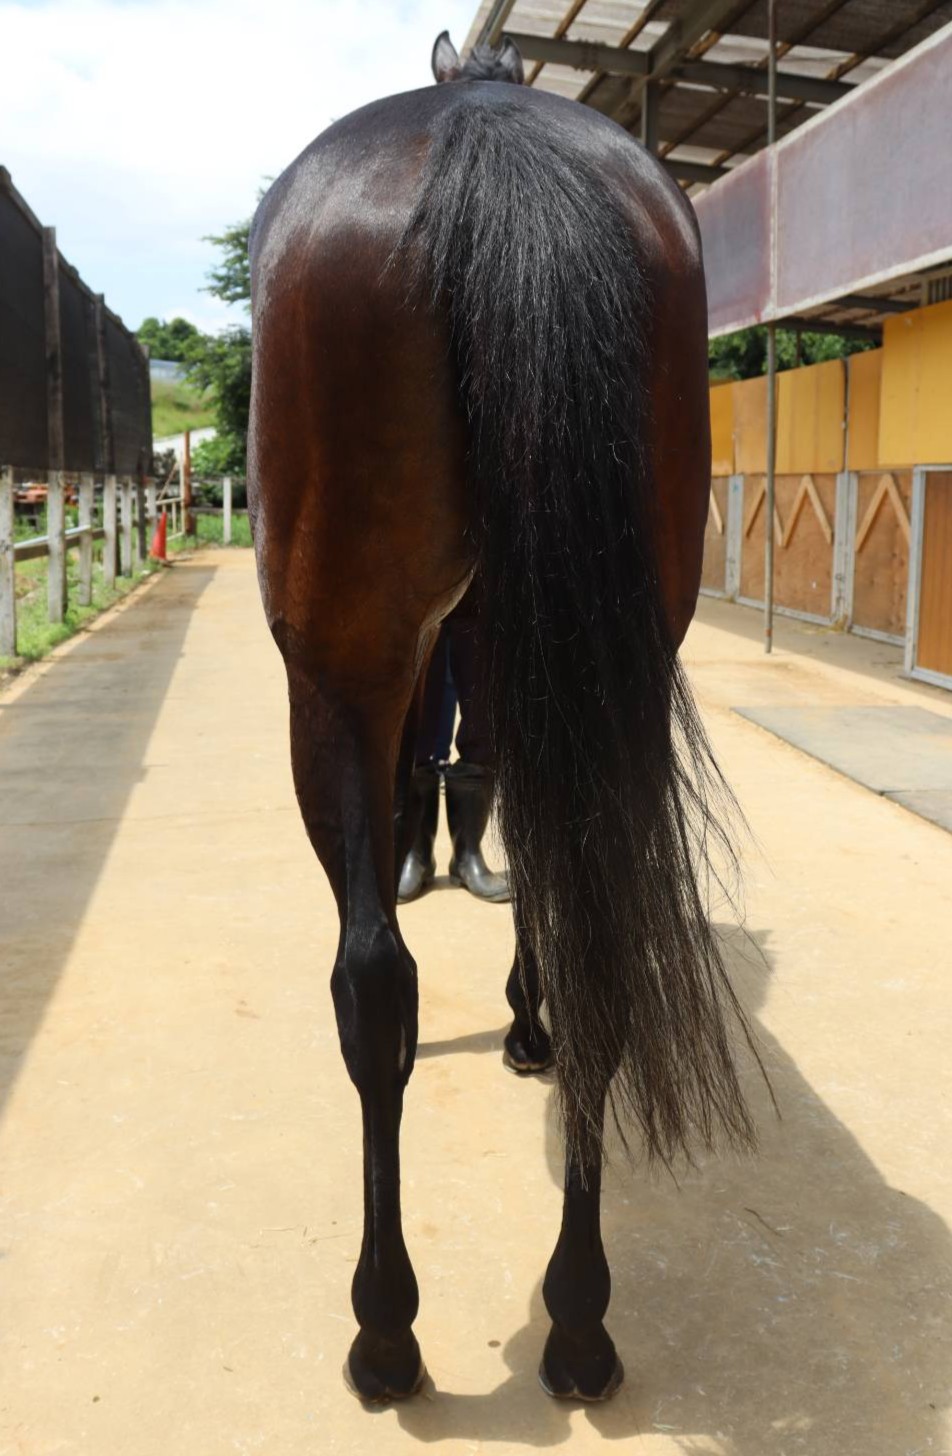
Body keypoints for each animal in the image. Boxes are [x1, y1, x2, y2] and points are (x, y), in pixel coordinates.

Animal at [247, 29, 757, 1404]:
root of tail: (487, 130)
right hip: (612, 653)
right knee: (600, 937)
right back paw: (579, 1325)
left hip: (337, 675)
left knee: (371, 979)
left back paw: (386, 1334)